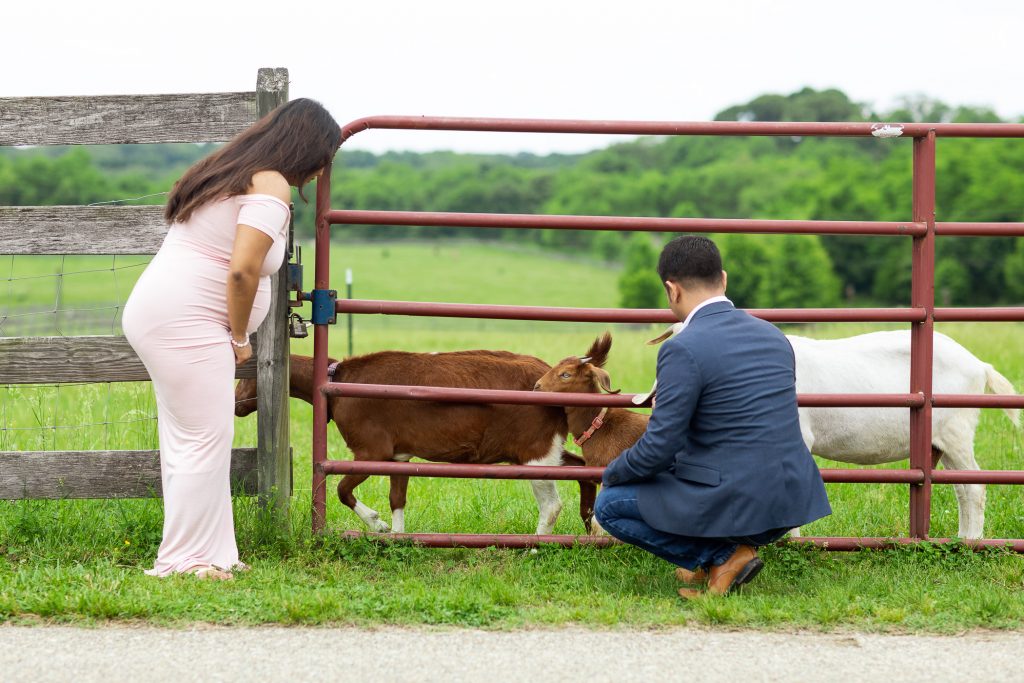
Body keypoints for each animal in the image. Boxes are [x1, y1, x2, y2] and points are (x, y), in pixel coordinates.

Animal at [234, 356, 593, 536]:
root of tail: (547, 372)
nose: (235, 405)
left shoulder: (371, 450)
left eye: (245, 375)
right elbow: (397, 498)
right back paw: (589, 523)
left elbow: (342, 490)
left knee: (552, 504)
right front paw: (397, 534)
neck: (334, 381)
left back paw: (537, 542)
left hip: (534, 451)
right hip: (544, 447)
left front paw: (376, 523)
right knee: (582, 469)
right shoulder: (399, 454)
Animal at [647, 325, 1015, 540]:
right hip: (943, 443)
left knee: (974, 488)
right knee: (962, 489)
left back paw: (970, 543)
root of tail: (979, 365)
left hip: (957, 430)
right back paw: (963, 539)